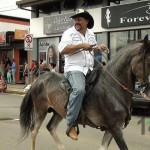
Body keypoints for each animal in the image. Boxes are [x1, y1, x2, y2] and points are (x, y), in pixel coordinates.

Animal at [19, 34, 150, 149]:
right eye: (148, 61)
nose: (147, 91)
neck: (113, 86)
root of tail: (39, 80)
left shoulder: (110, 129)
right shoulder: (115, 128)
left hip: (58, 112)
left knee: (50, 127)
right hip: (40, 110)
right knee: (34, 131)